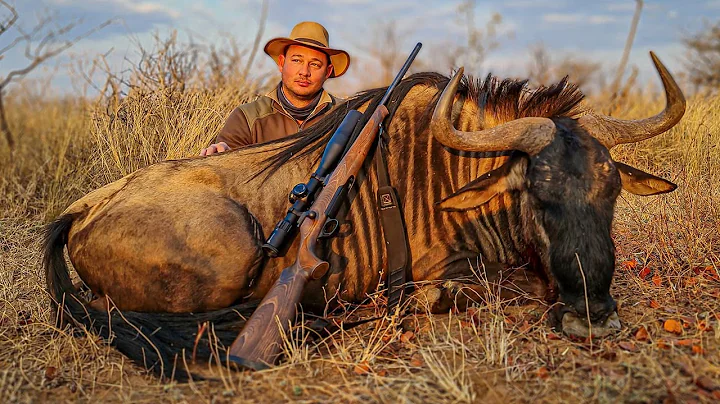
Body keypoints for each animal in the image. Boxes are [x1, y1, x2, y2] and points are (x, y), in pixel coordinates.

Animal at [44, 52, 685, 379]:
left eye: (611, 193)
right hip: (232, 252)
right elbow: (503, 286)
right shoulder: (455, 274)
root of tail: (84, 208)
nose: (593, 318)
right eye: (538, 194)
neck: (448, 166)